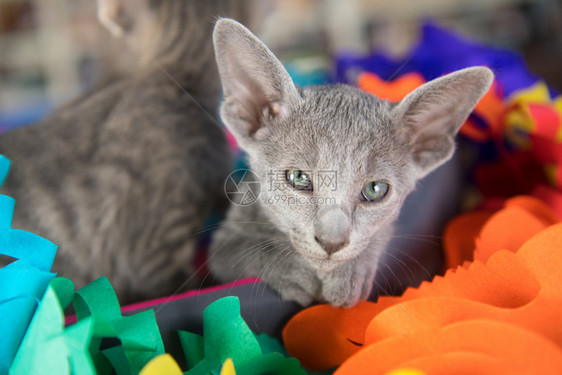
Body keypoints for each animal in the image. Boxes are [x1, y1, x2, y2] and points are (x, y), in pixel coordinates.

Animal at [209, 18, 490, 308]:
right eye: (298, 177)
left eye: (375, 189)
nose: (331, 243)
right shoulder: (222, 246)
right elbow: (244, 251)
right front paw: (290, 269)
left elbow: (377, 236)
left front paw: (351, 271)